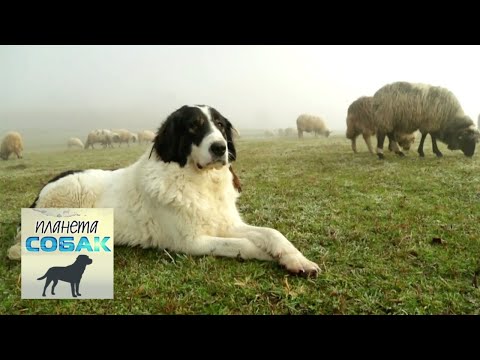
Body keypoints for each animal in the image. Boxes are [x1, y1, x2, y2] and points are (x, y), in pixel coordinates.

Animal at [6, 105, 318, 276]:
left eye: (219, 125)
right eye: (193, 126)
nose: (221, 148)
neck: (198, 181)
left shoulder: (224, 223)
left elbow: (271, 233)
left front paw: (296, 259)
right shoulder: (190, 242)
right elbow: (243, 245)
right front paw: (270, 257)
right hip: (72, 196)